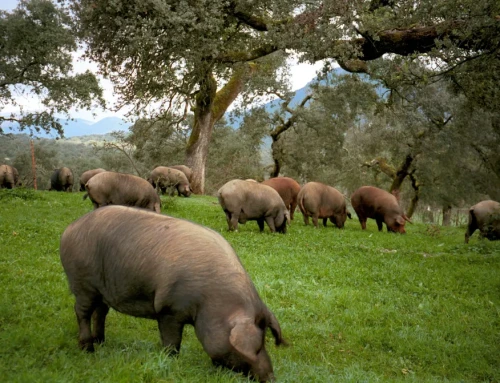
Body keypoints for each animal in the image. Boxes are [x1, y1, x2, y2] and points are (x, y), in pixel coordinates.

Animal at [59, 207, 286, 383]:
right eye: (256, 346)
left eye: (265, 340)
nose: (271, 378)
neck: (210, 302)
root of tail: (69, 229)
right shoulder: (168, 309)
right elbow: (172, 342)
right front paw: (170, 361)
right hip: (83, 283)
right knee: (82, 312)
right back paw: (88, 349)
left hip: (101, 289)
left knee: (101, 311)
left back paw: (101, 341)